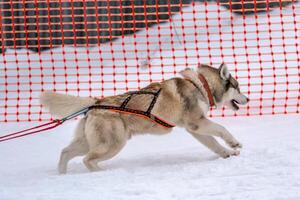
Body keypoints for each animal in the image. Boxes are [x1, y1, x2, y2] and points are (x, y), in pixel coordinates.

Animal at [41, 63, 250, 173]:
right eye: (238, 87)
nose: (247, 99)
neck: (201, 86)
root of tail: (96, 102)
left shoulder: (195, 129)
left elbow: (214, 144)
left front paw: (228, 153)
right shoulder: (197, 123)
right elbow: (222, 130)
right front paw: (234, 143)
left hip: (90, 142)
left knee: (65, 152)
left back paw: (62, 174)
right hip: (113, 144)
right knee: (88, 160)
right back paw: (101, 173)